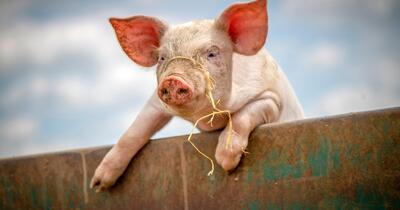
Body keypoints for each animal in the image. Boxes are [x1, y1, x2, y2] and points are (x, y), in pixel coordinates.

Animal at [90, 0, 304, 192]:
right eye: (162, 57)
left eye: (212, 53)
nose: (173, 79)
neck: (207, 119)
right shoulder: (155, 103)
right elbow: (134, 132)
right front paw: (98, 185)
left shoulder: (272, 99)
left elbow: (241, 118)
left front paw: (225, 163)